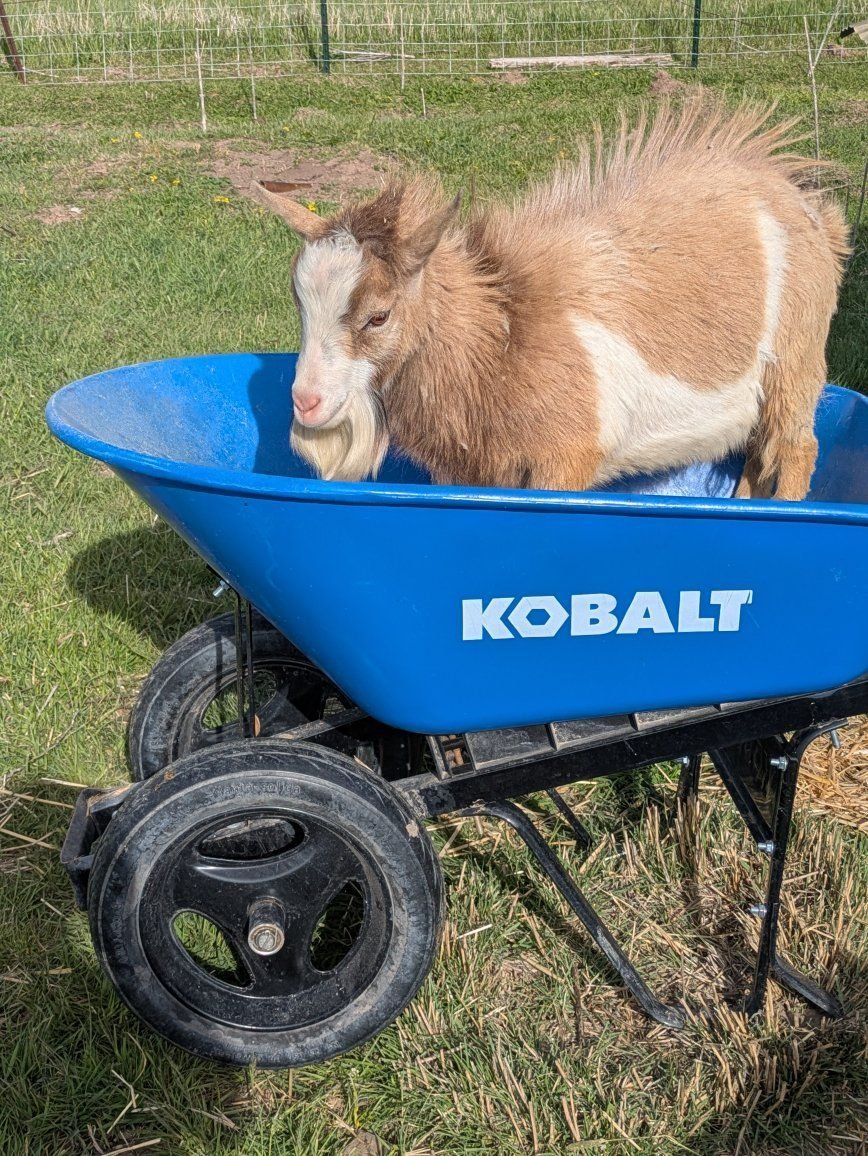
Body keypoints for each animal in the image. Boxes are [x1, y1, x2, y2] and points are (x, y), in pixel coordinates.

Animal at [255, 99, 849, 499]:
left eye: (377, 317)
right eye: (299, 304)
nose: (305, 402)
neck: (502, 335)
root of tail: (808, 207)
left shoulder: (566, 461)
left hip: (795, 363)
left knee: (797, 447)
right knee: (758, 452)